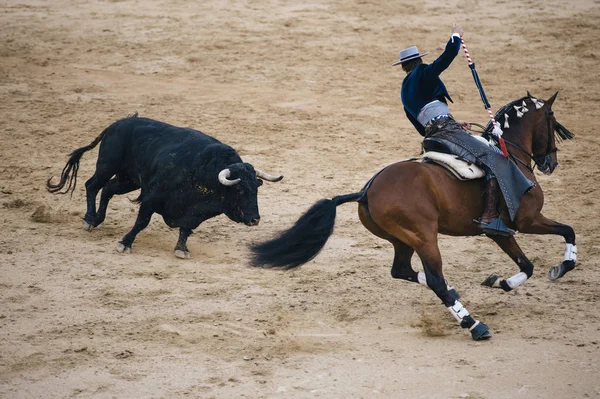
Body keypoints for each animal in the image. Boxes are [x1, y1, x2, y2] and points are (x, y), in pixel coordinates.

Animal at [46, 115, 282, 260]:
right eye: (240, 190)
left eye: (256, 190)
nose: (255, 219)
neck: (202, 173)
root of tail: (117, 123)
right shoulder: (151, 199)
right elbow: (141, 222)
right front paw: (125, 243)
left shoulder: (192, 214)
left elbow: (186, 229)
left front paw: (181, 250)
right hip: (107, 165)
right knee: (92, 185)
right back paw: (89, 219)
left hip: (129, 180)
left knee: (108, 190)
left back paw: (97, 219)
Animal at [250, 93, 576, 340]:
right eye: (551, 117)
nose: (551, 163)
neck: (510, 156)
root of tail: (366, 191)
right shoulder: (527, 220)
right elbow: (568, 231)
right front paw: (562, 266)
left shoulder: (499, 232)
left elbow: (527, 265)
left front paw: (500, 282)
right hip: (424, 237)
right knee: (435, 281)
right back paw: (474, 325)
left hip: (403, 239)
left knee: (404, 271)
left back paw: (457, 295)